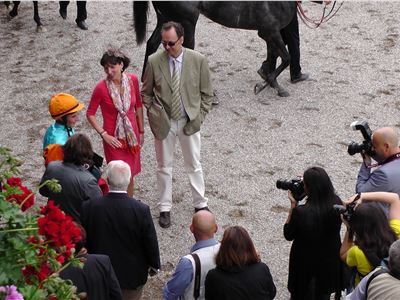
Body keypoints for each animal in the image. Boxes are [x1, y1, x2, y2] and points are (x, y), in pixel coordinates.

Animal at [134, 0, 296, 96]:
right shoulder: (270, 31)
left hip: (167, 19)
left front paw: (271, 83)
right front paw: (266, 84)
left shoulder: (270, 32)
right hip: (186, 22)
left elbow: (273, 55)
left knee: (152, 44)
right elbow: (286, 58)